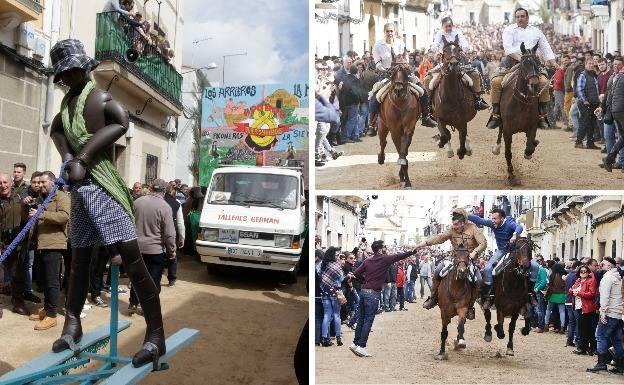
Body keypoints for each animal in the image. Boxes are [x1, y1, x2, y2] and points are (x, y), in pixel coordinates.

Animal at [378, 47, 422, 188]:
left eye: (407, 69)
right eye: (392, 70)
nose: (398, 89)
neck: (400, 103)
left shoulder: (409, 126)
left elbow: (404, 147)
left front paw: (405, 178)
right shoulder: (394, 129)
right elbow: (398, 148)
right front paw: (405, 177)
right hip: (382, 125)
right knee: (382, 142)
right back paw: (381, 158)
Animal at [492, 42, 540, 181]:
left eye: (538, 62)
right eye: (524, 63)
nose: (535, 85)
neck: (522, 102)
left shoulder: (532, 126)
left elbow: (529, 147)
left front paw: (529, 151)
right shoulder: (508, 130)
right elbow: (508, 152)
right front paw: (511, 174)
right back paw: (496, 148)